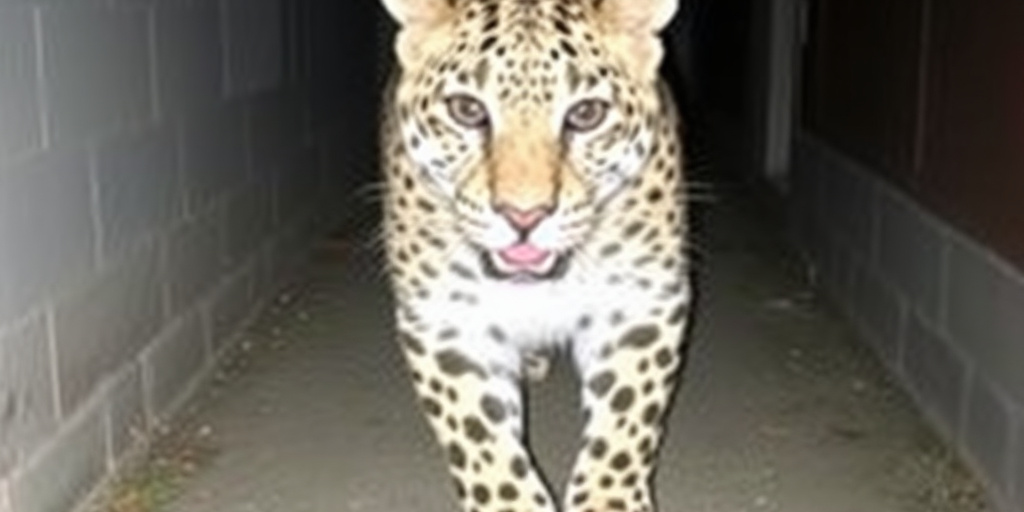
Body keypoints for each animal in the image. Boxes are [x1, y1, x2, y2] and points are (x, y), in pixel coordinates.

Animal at [377, 1, 692, 511]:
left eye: (587, 114)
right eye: (467, 110)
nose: (524, 215)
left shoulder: (640, 301)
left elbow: (624, 420)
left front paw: (610, 500)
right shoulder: (446, 318)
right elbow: (481, 438)